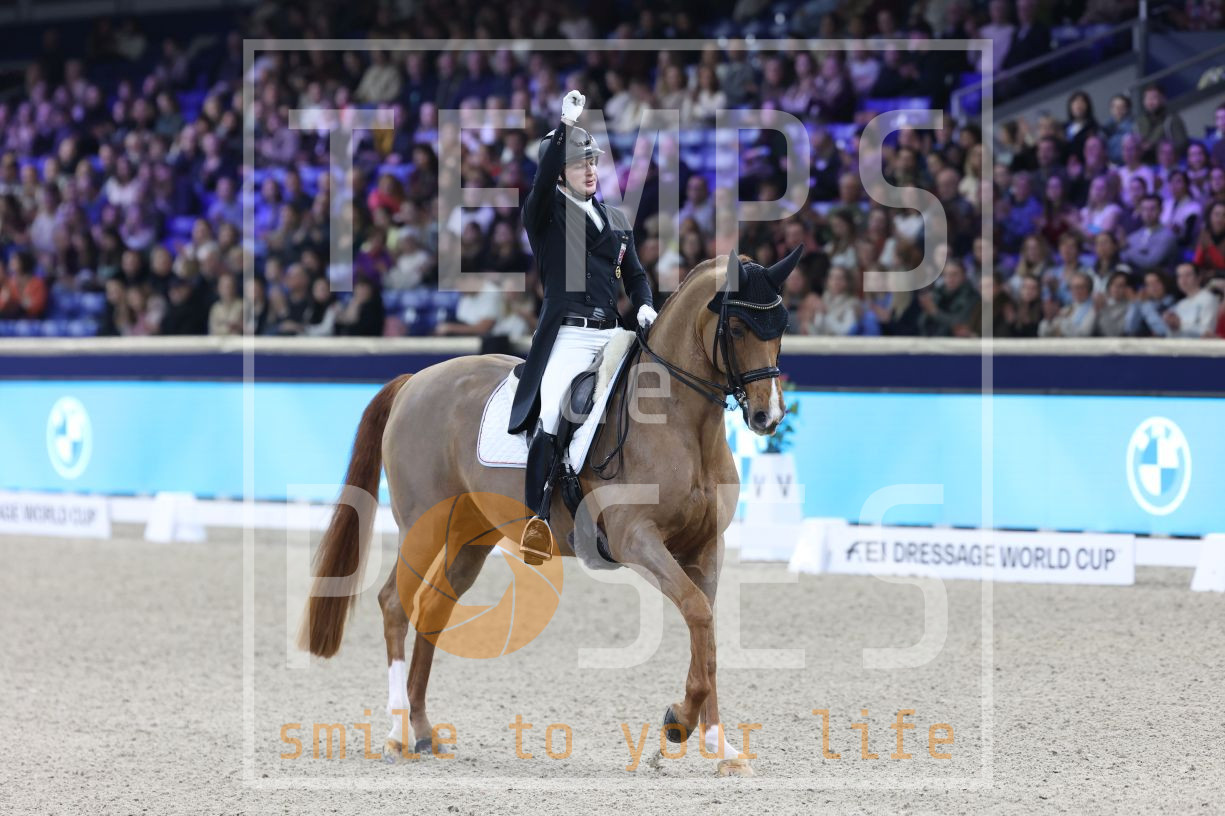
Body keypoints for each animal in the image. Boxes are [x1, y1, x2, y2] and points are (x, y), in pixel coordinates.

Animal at [299, 249, 799, 776]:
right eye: (738, 327)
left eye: (781, 325)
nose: (768, 417)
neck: (680, 424)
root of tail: (415, 380)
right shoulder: (635, 539)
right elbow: (699, 613)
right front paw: (677, 723)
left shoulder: (706, 547)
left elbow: (706, 630)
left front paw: (723, 749)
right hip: (422, 525)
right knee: (395, 603)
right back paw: (397, 734)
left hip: (469, 537)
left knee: (433, 608)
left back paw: (423, 730)